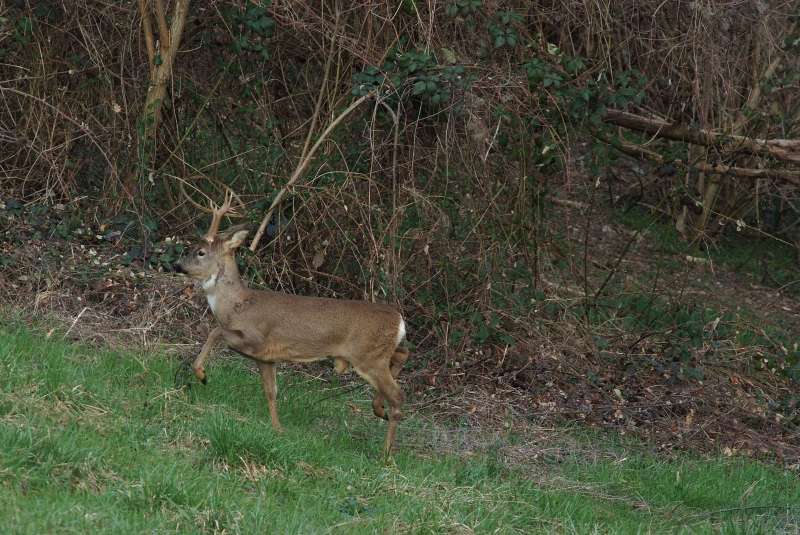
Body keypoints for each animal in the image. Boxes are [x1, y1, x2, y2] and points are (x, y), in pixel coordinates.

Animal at [176, 191, 412, 454]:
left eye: (200, 252)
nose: (177, 265)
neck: (236, 305)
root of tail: (399, 320)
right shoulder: (265, 358)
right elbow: (271, 392)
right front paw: (278, 428)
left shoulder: (255, 339)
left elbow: (215, 331)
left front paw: (202, 374)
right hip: (377, 353)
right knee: (402, 355)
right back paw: (378, 408)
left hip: (368, 356)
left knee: (399, 395)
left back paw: (386, 453)